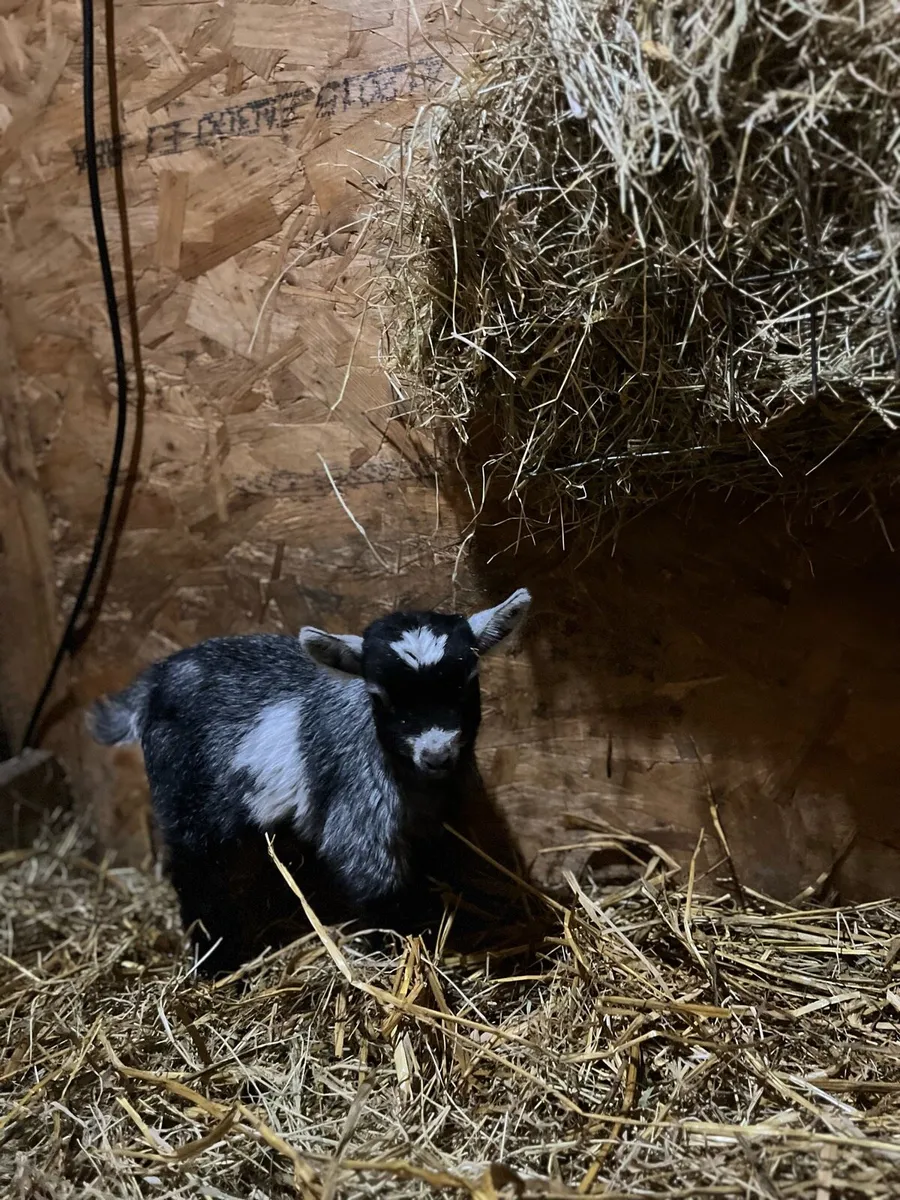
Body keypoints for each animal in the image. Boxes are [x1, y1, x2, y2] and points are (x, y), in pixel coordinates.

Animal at [87, 588, 531, 974]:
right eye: (381, 697)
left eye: (466, 684)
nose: (436, 755)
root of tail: (154, 681)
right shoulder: (358, 812)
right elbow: (377, 887)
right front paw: (393, 955)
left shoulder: (432, 823)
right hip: (186, 798)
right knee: (194, 871)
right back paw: (214, 962)